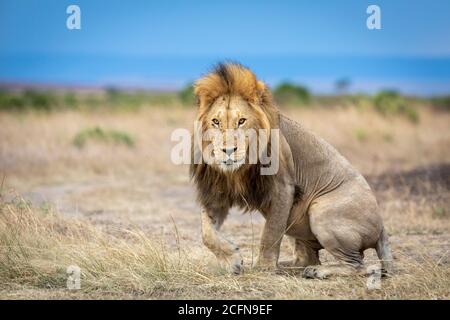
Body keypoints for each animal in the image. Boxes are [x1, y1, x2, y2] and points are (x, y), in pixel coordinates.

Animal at [190, 62, 394, 278]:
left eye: (242, 121)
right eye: (216, 122)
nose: (228, 151)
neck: (238, 170)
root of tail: (382, 227)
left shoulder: (283, 188)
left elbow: (270, 233)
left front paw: (263, 268)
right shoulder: (216, 191)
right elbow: (206, 233)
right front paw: (233, 260)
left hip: (320, 210)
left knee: (356, 264)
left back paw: (317, 271)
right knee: (307, 257)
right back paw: (291, 267)